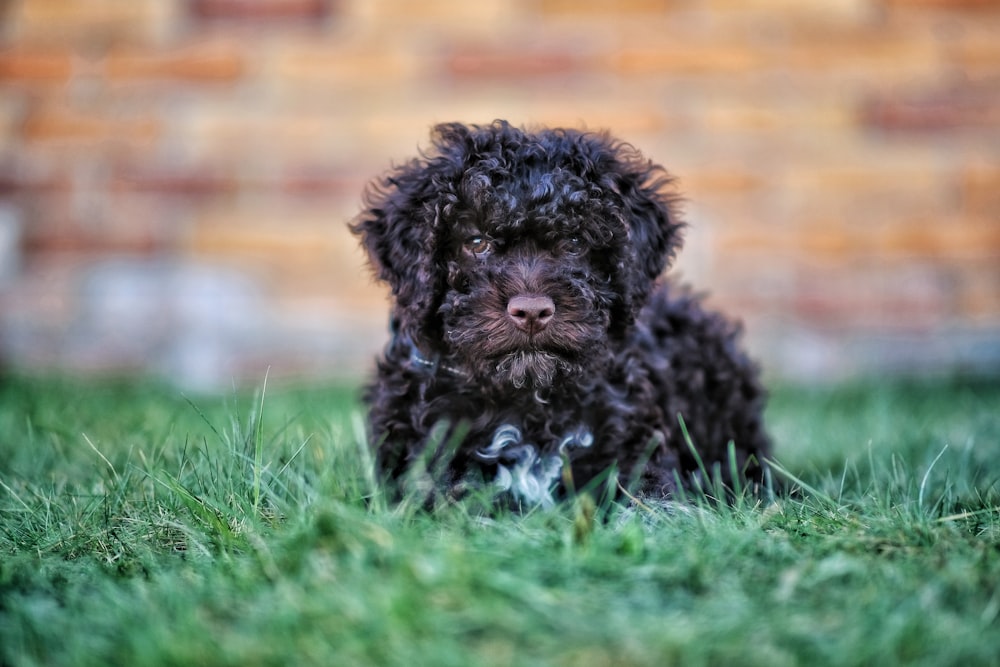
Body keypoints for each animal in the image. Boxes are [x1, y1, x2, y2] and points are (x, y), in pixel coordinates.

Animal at [354, 121, 772, 506]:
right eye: (476, 241)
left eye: (574, 242)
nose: (531, 311)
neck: (526, 400)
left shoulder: (634, 447)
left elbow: (647, 499)